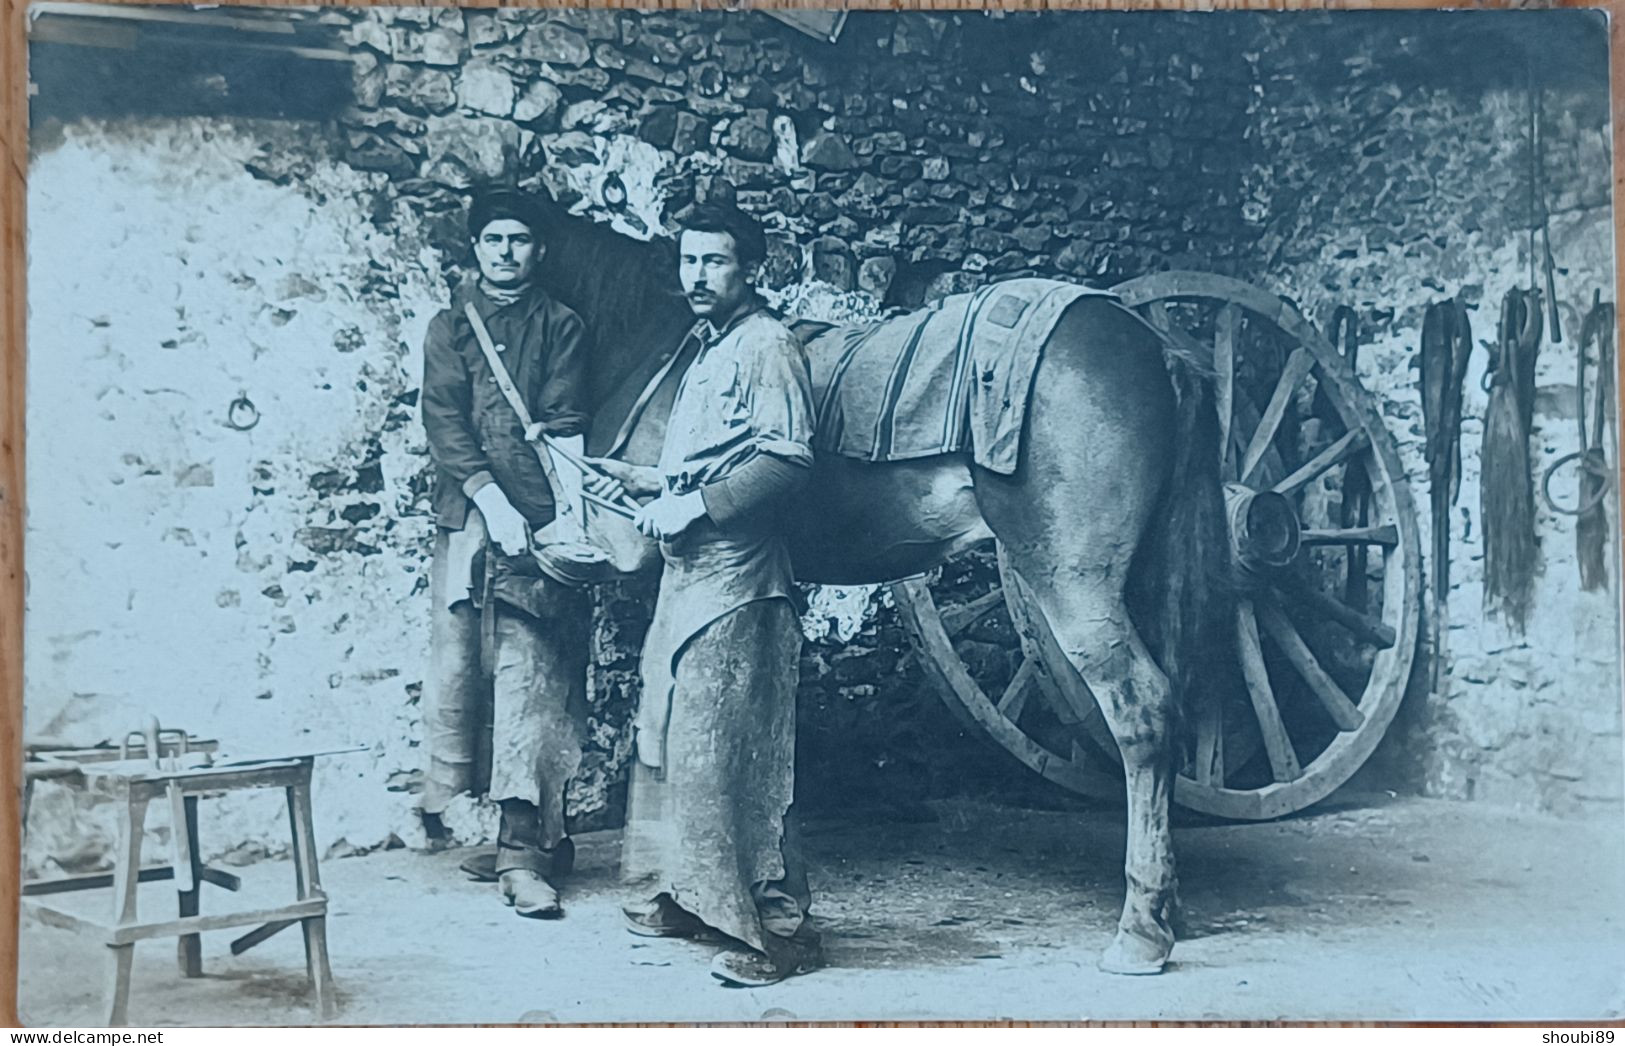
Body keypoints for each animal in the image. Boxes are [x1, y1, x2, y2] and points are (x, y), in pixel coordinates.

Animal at [533, 219, 1228, 974]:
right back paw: (1169, 906)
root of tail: (1155, 346)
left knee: (1143, 712)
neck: (667, 348)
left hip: (1075, 583)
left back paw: (1140, 929)